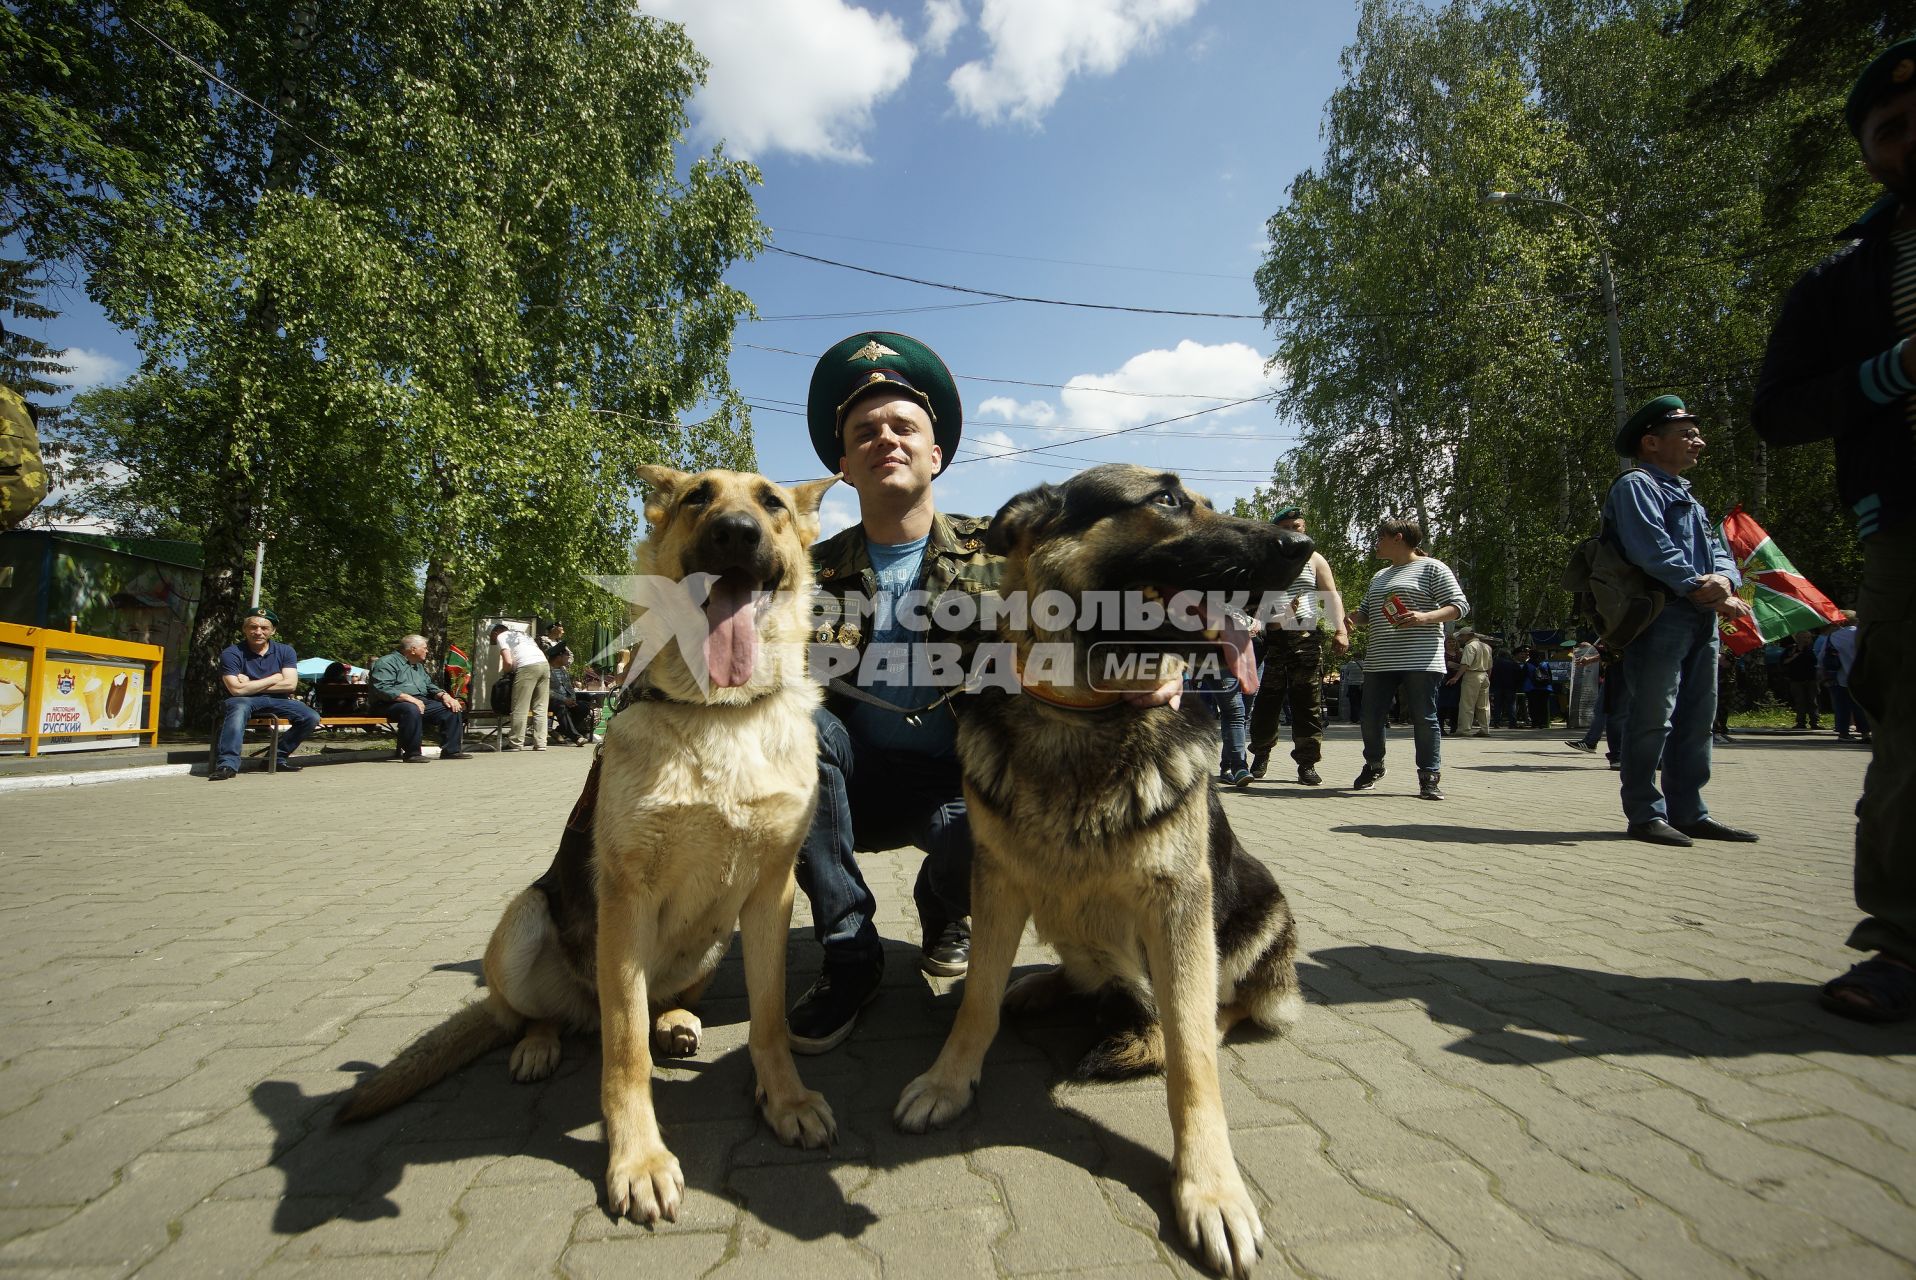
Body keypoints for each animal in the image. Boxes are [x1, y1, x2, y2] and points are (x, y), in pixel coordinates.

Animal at [335, 465, 839, 1226]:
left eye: (771, 503)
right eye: (698, 497)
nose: (735, 533)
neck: (720, 712)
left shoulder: (770, 896)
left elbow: (771, 1020)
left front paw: (784, 1100)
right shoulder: (625, 900)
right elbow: (624, 1053)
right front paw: (638, 1161)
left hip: (714, 938)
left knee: (652, 1006)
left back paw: (678, 1020)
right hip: (525, 919)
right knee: (536, 1016)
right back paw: (538, 1046)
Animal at [889, 465, 1310, 1272]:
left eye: (1208, 501)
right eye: (1168, 500)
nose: (1302, 548)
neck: (1083, 714)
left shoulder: (1181, 905)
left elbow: (1192, 1055)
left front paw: (1211, 1188)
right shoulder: (997, 884)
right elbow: (976, 998)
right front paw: (950, 1080)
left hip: (1261, 904)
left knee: (1223, 1008)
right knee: (1089, 978)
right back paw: (1045, 989)